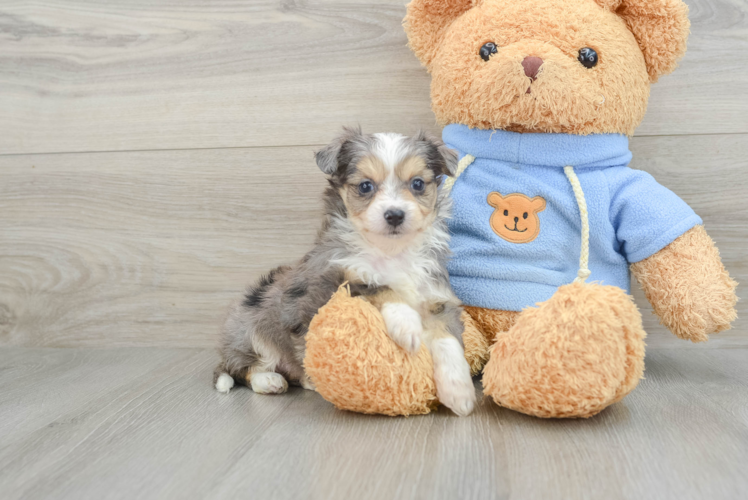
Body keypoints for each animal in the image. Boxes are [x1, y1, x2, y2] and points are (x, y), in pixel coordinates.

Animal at [213, 127, 476, 416]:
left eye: (418, 184)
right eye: (365, 186)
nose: (395, 215)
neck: (391, 251)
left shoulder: (436, 298)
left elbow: (448, 341)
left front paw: (459, 391)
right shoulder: (333, 282)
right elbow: (380, 285)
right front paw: (406, 325)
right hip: (251, 325)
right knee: (243, 368)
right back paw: (271, 380)